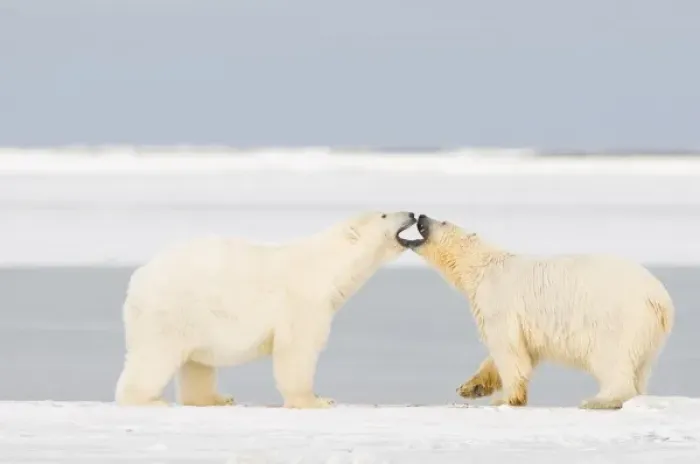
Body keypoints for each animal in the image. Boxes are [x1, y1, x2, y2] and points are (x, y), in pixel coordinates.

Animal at [114, 210, 422, 408]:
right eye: (384, 216)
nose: (411, 213)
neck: (326, 266)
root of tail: (138, 278)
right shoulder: (303, 301)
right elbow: (296, 349)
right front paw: (316, 401)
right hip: (170, 311)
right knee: (155, 356)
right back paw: (148, 401)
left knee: (197, 363)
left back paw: (216, 398)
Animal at [403, 214, 674, 410]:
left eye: (443, 221)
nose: (421, 216)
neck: (481, 267)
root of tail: (660, 299)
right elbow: (522, 352)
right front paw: (471, 387)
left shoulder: (498, 301)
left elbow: (508, 349)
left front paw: (506, 398)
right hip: (649, 334)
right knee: (640, 368)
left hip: (617, 318)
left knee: (611, 360)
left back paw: (598, 400)